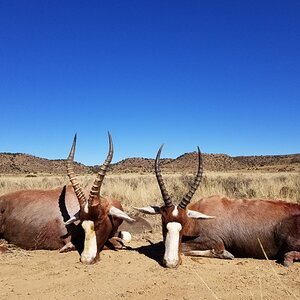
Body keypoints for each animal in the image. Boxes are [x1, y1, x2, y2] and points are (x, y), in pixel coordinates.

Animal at [135, 145, 300, 268]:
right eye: (163, 221)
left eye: (184, 221)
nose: (171, 262)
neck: (199, 218)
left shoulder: (215, 242)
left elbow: (186, 248)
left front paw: (225, 254)